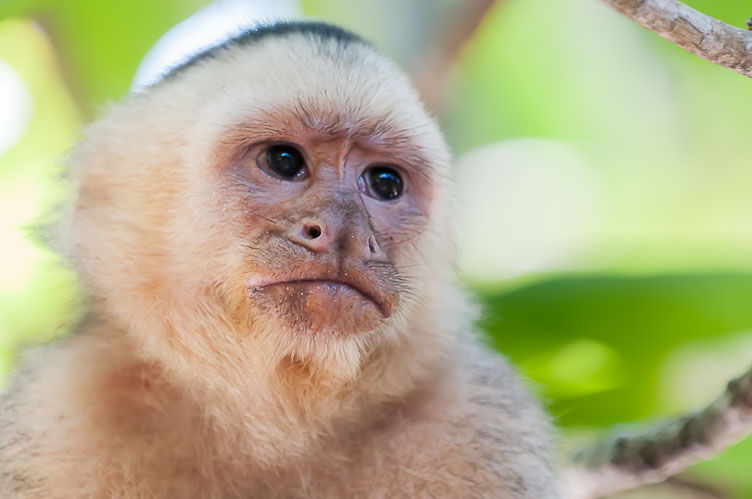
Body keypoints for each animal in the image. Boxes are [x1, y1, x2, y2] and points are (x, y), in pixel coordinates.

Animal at [0, 21, 559, 498]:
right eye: (284, 161)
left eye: (385, 183)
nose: (344, 233)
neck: (273, 423)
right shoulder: (56, 416)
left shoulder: (480, 424)